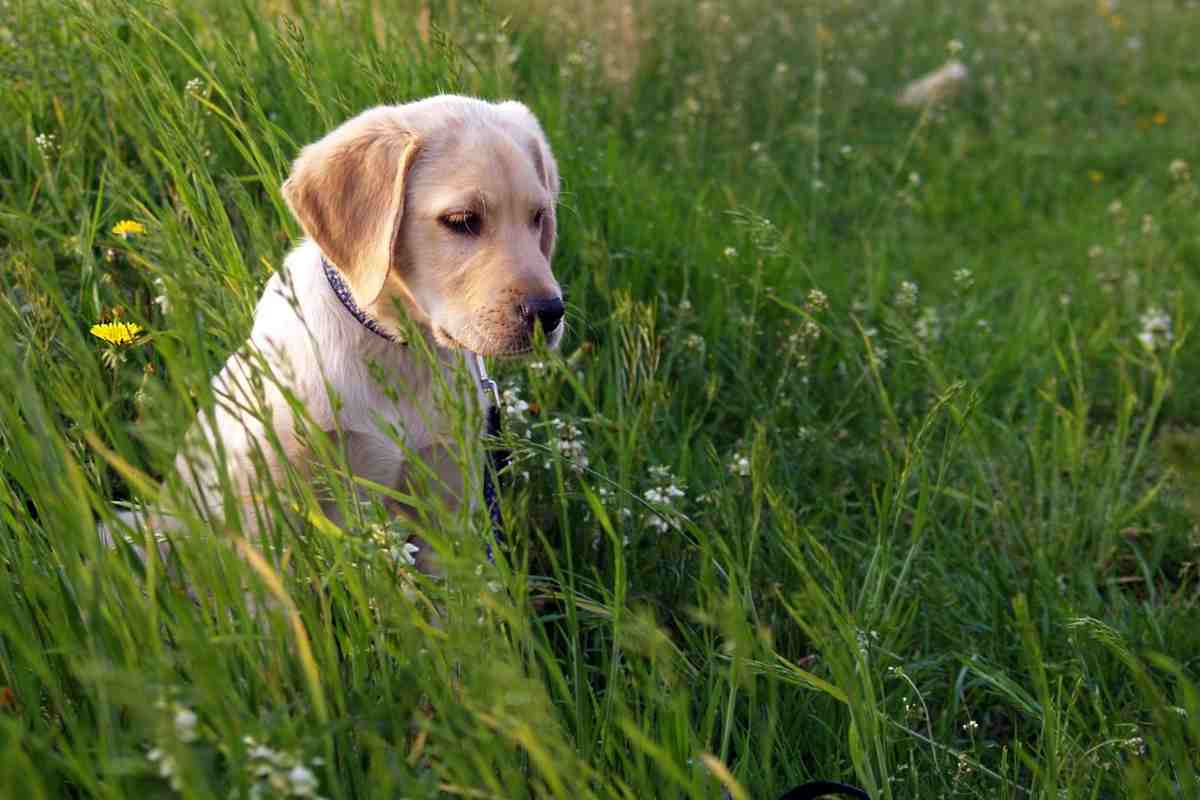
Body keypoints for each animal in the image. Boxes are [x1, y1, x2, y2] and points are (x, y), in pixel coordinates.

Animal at [127, 95, 566, 568]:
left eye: (538, 217)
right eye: (463, 220)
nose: (549, 313)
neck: (398, 349)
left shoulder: (448, 508)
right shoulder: (269, 507)